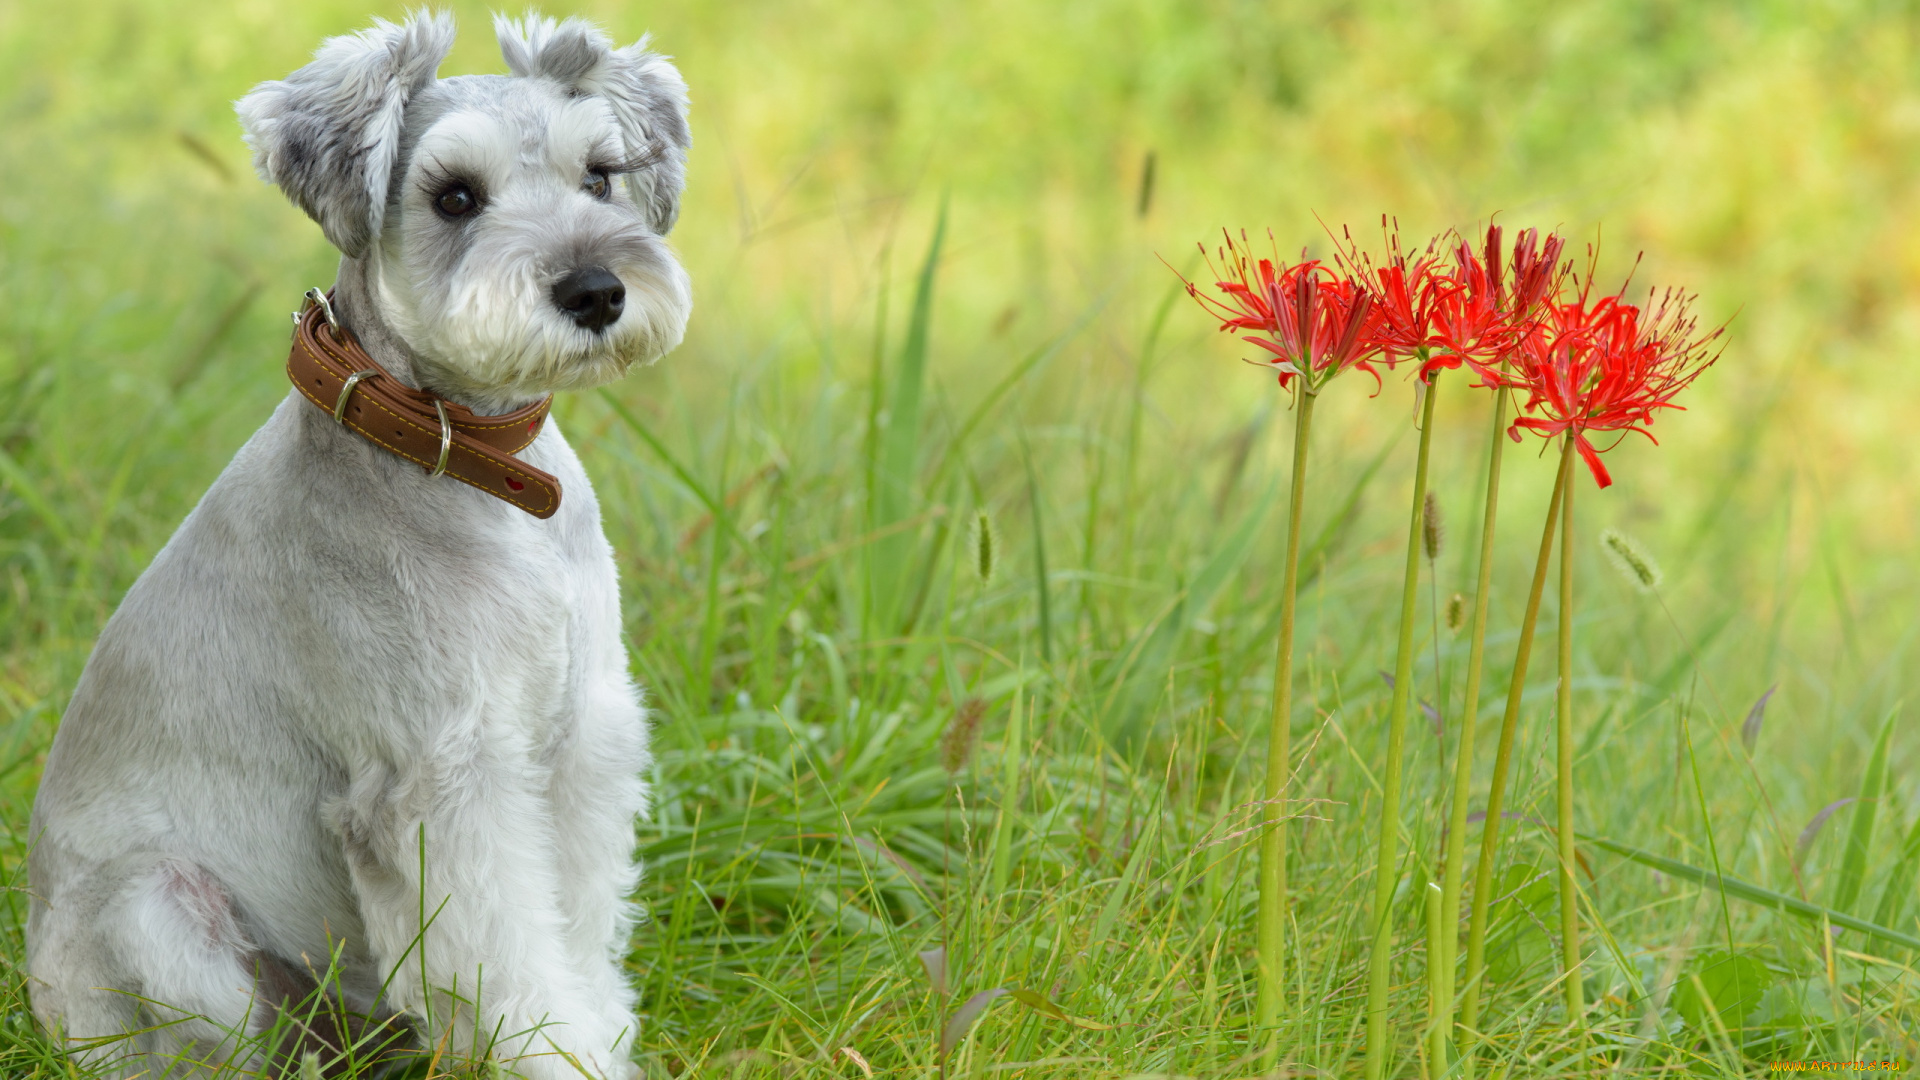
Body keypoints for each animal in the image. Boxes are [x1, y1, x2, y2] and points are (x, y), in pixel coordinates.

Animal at [30, 10, 691, 1076]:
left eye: (600, 175)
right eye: (454, 195)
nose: (595, 290)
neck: (470, 463)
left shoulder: (579, 741)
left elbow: (577, 935)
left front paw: (605, 1039)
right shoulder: (440, 780)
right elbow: (513, 965)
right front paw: (560, 1058)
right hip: (159, 905)